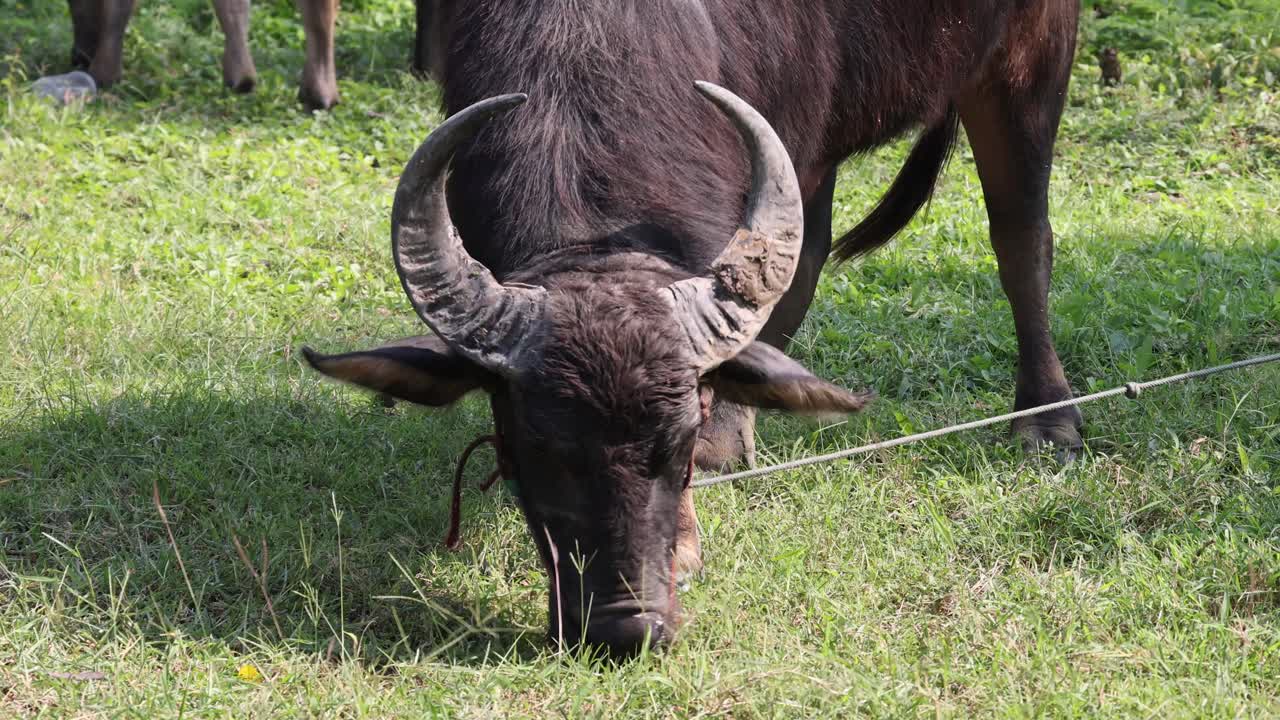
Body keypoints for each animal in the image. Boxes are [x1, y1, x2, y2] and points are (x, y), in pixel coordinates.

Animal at [306, 0, 1082, 655]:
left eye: (676, 444)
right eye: (533, 449)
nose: (627, 630)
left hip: (1029, 55)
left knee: (1022, 238)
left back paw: (1047, 419)